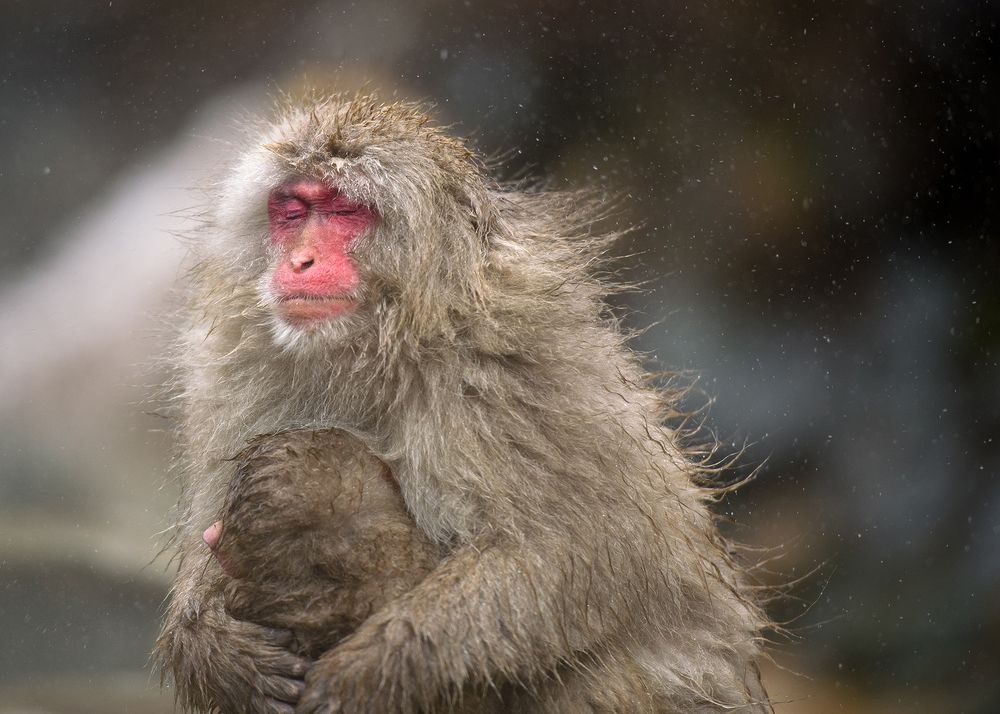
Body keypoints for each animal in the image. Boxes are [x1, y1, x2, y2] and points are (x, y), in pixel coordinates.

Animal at [154, 93, 773, 714]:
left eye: (343, 210)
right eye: (292, 210)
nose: (298, 261)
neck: (385, 340)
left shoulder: (513, 369)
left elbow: (573, 553)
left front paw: (364, 674)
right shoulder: (231, 366)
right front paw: (209, 643)